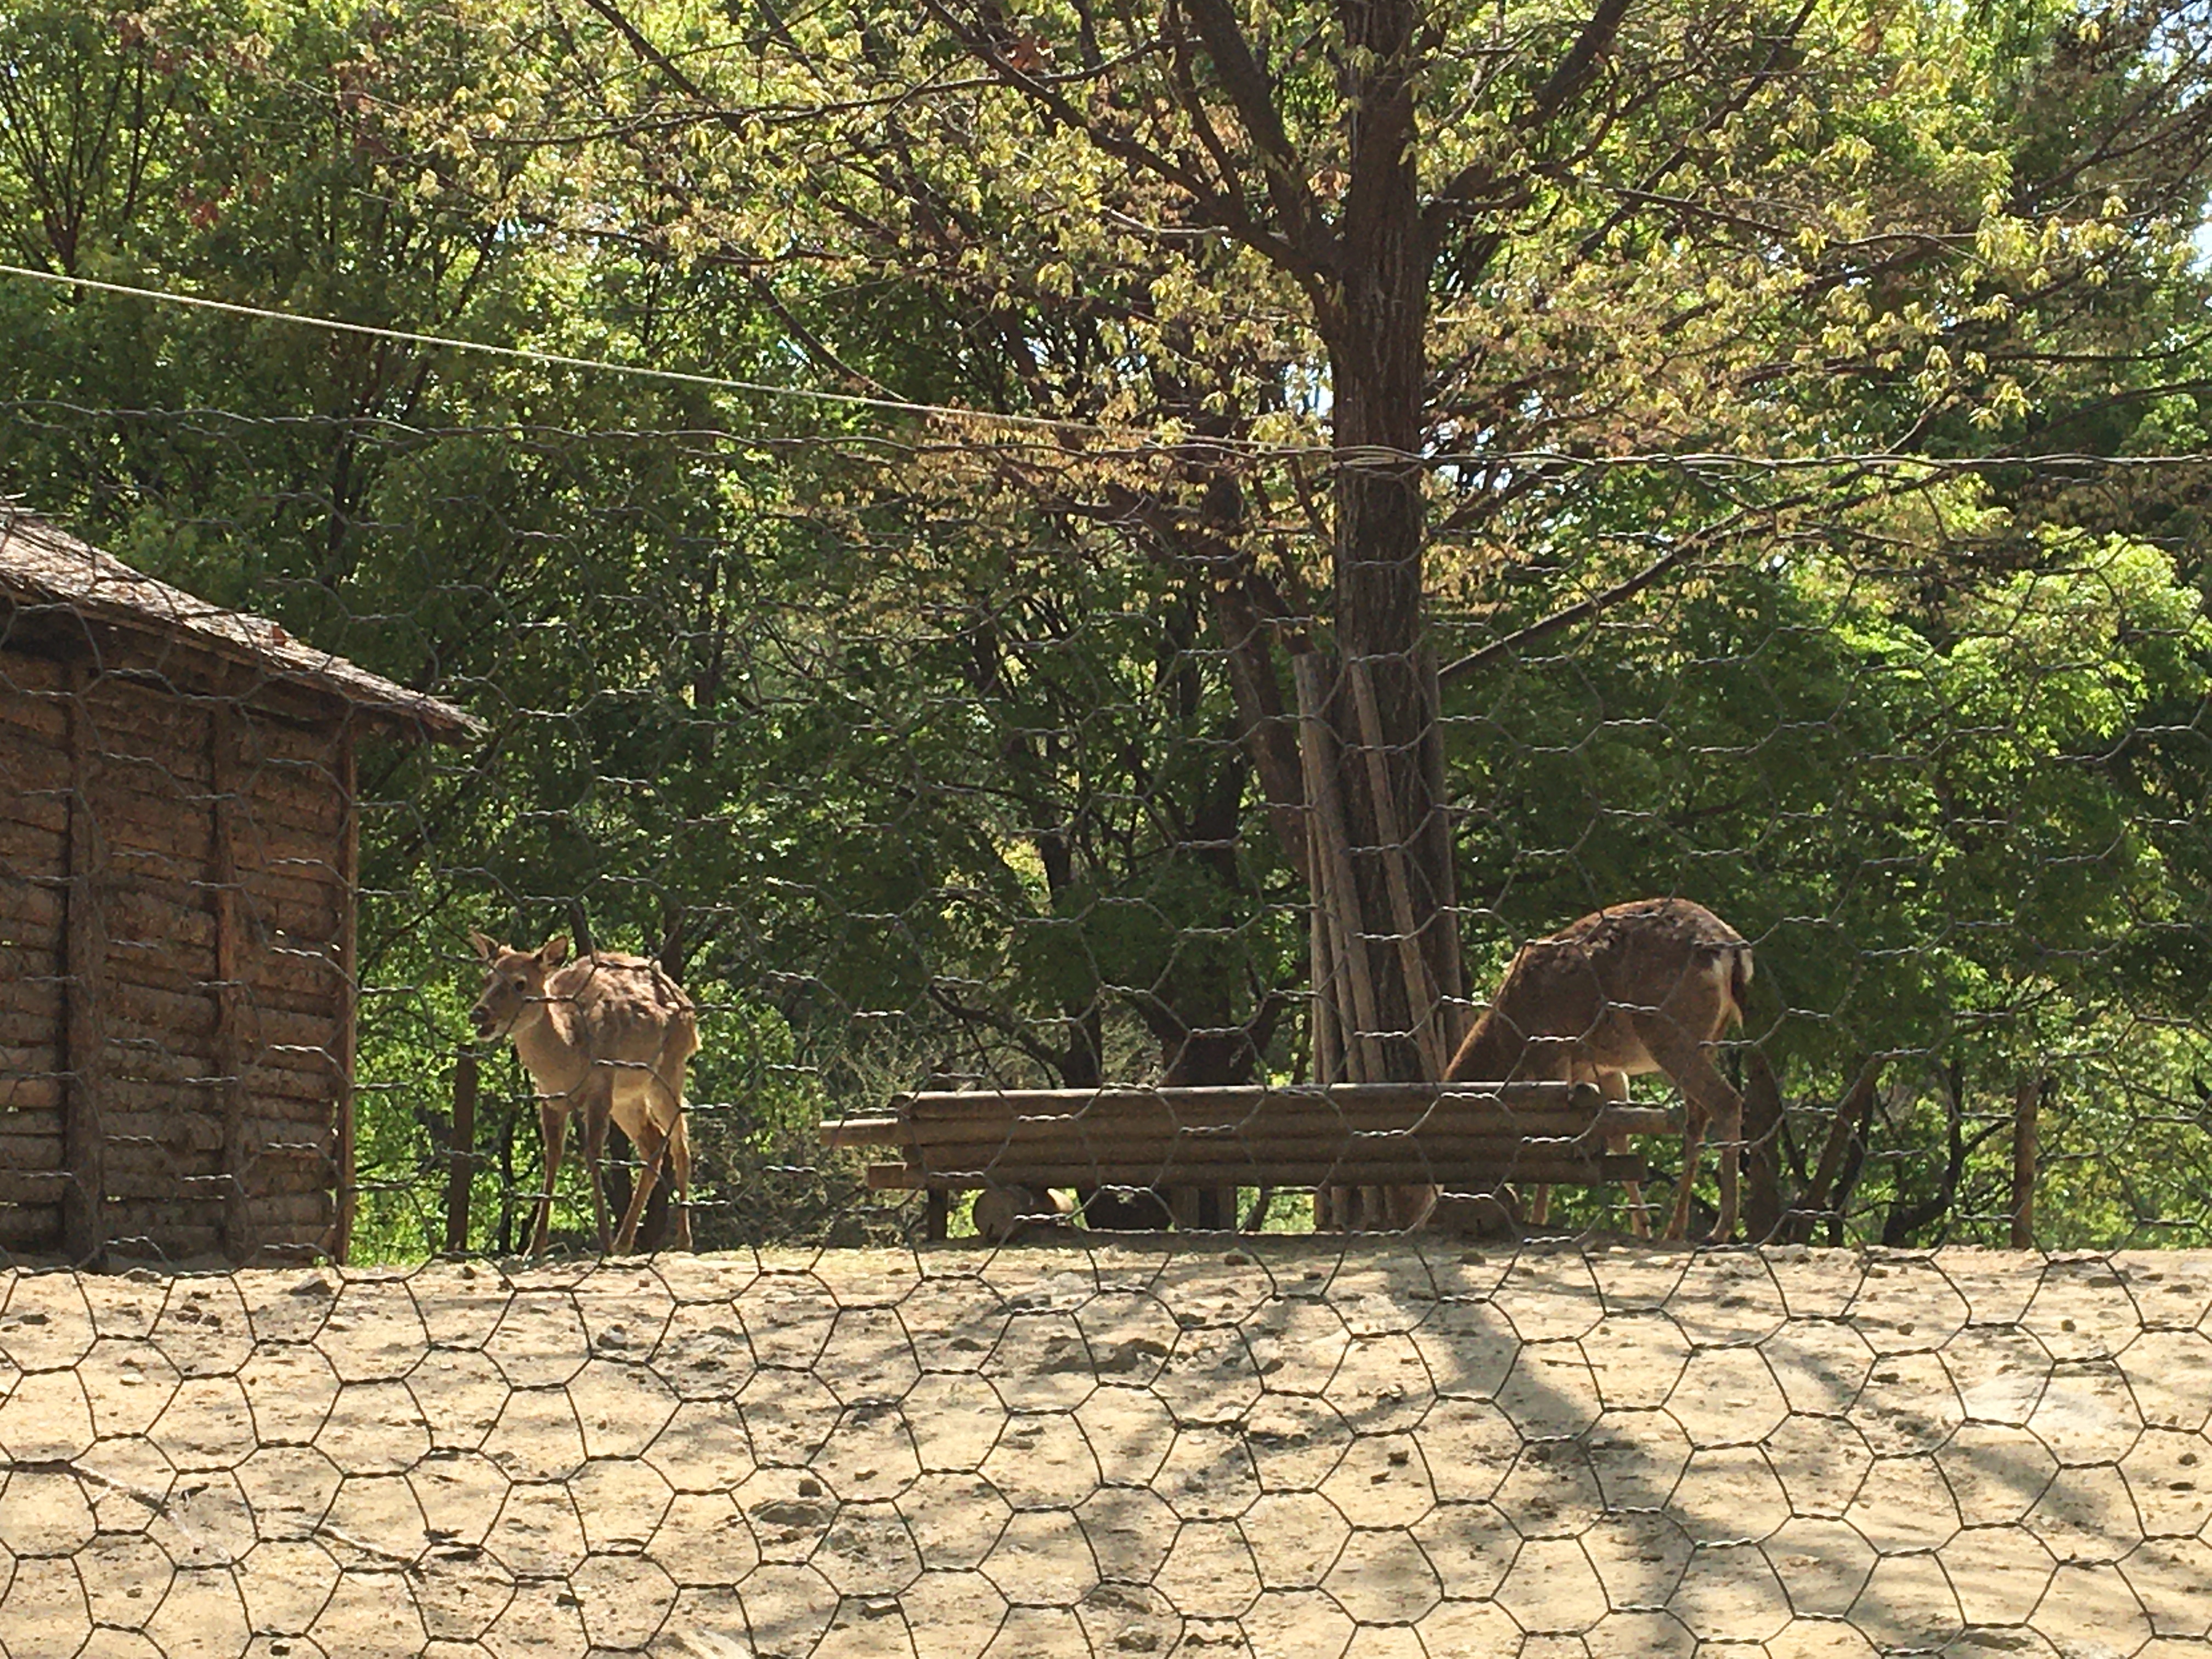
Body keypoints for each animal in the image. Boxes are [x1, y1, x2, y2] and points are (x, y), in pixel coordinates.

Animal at [468, 932, 698, 1255]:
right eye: (486, 979)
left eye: (520, 983)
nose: (479, 1013)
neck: (567, 1058)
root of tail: (687, 1005)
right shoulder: (549, 1097)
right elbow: (553, 1156)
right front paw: (535, 1247)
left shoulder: (601, 1084)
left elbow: (593, 1153)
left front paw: (603, 1239)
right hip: (628, 1096)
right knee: (653, 1140)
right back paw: (625, 1240)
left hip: (668, 1070)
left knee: (681, 1140)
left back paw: (682, 1240)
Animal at [1443, 898, 1753, 1243]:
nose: (1461, 1219)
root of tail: (1731, 949)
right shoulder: (1606, 1071)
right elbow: (1617, 1135)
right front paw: (1641, 1225)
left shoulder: (1550, 1051)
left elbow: (1552, 1133)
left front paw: (1538, 1220)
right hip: (1710, 1037)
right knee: (1697, 1118)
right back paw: (1674, 1230)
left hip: (1668, 1029)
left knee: (1725, 1101)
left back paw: (1719, 1229)